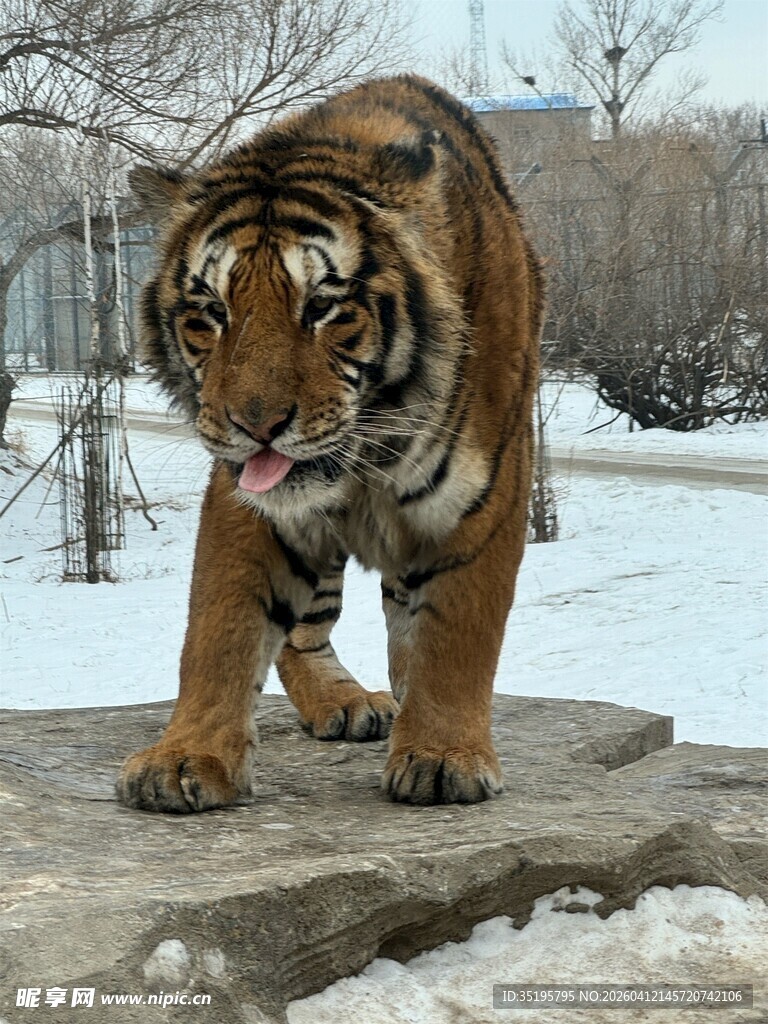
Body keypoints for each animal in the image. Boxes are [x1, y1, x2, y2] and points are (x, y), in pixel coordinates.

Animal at [116, 74, 543, 812]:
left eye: (322, 307)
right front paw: (185, 757)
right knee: (301, 634)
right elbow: (219, 631)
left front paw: (443, 756)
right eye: (211, 314)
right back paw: (345, 702)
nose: (256, 424)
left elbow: (456, 635)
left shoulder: (482, 504)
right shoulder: (247, 506)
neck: (368, 454)